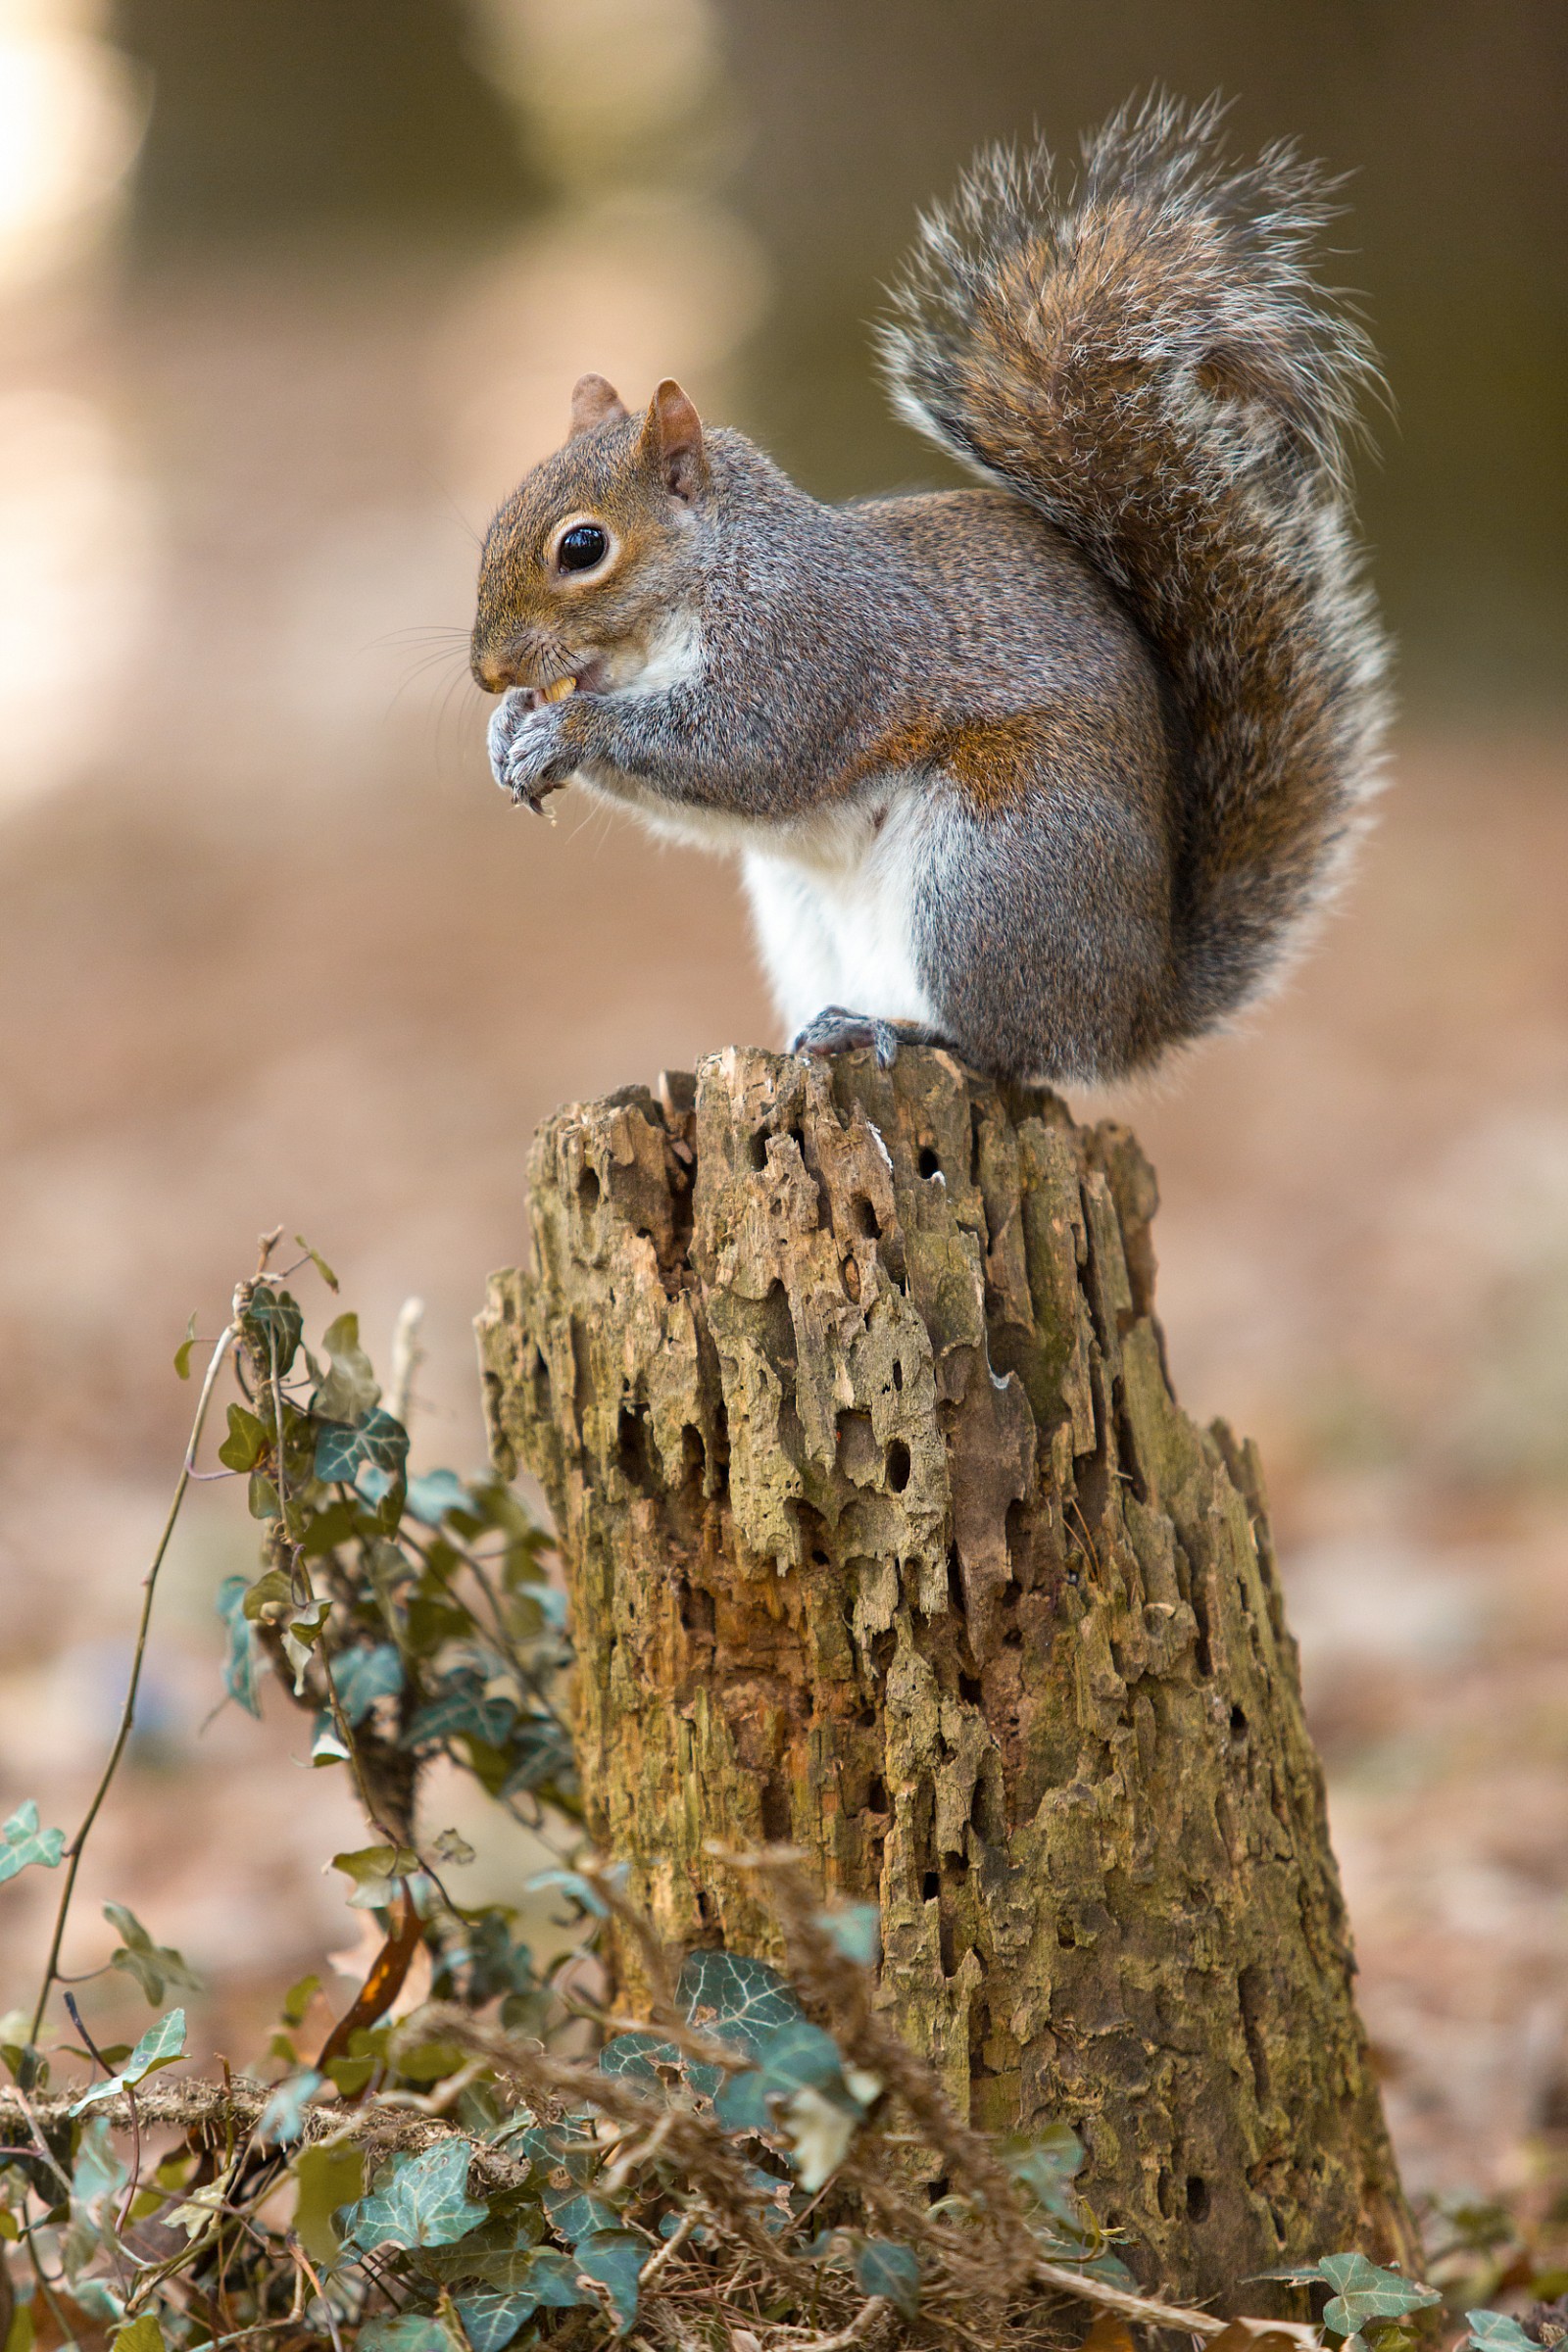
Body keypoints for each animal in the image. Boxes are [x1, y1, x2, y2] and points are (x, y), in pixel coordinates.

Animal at [468, 95, 1387, 1085]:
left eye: (584, 546)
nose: (487, 672)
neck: (706, 584)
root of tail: (1135, 1011)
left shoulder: (808, 648)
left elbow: (740, 751)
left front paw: (563, 731)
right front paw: (508, 728)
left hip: (990, 870)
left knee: (1009, 1047)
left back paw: (898, 1031)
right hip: (809, 913)